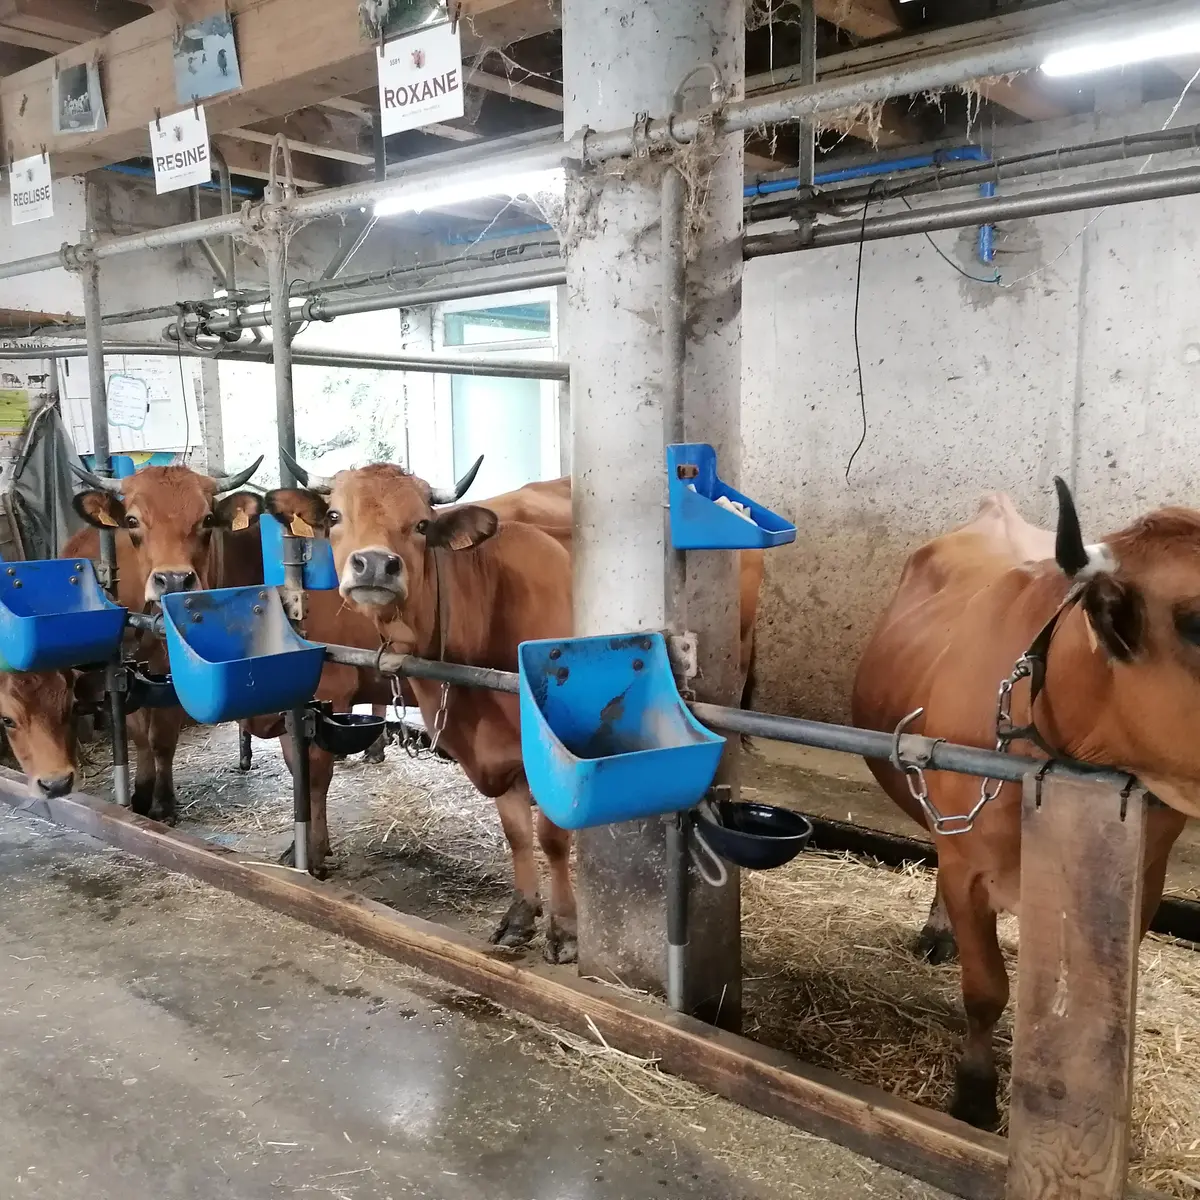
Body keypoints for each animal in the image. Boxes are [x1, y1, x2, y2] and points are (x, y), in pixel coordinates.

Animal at [265, 461, 579, 963]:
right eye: (334, 516)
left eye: (422, 525)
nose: (376, 564)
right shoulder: (494, 754)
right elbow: (515, 832)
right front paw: (519, 917)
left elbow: (551, 837)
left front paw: (564, 932)